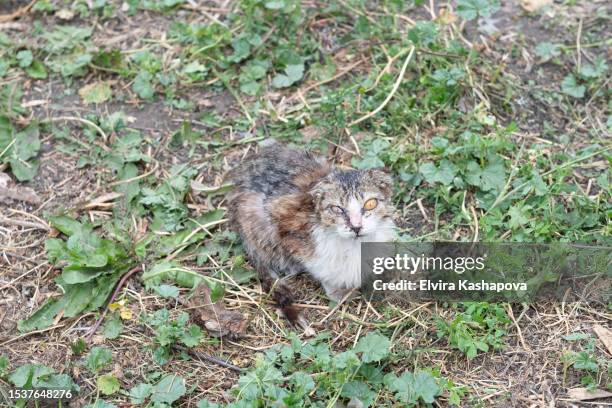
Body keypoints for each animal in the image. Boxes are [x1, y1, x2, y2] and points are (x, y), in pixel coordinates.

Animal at [226, 143, 396, 326]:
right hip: (255, 221)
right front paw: (338, 291)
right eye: (336, 209)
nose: (356, 227)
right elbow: (319, 265)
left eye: (370, 204)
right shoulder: (286, 226)